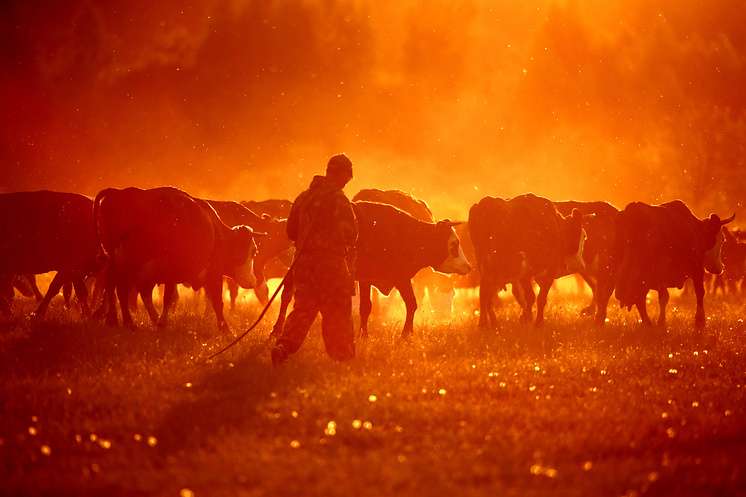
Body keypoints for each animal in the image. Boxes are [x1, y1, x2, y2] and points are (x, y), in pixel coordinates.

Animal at [94, 186, 260, 330]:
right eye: (253, 251)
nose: (253, 281)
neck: (216, 234)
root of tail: (119, 193)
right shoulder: (208, 273)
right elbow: (215, 301)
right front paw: (225, 329)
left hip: (115, 261)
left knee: (112, 287)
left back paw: (114, 320)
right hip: (129, 263)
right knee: (121, 289)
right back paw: (128, 322)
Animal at [272, 201, 470, 338]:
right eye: (454, 244)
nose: (468, 266)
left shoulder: (384, 278)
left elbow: (385, 305)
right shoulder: (386, 277)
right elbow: (389, 305)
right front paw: (403, 334)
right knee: (286, 296)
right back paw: (277, 330)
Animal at [468, 194, 584, 330]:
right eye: (582, 236)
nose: (581, 264)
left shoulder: (529, 274)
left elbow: (532, 297)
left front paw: (528, 319)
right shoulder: (543, 271)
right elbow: (537, 298)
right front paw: (534, 321)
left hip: (487, 266)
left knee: (485, 293)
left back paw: (488, 324)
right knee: (486, 293)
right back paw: (487, 323)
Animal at [612, 200, 732, 328]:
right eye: (722, 240)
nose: (721, 268)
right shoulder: (696, 269)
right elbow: (699, 293)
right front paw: (699, 322)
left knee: (640, 297)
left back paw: (648, 324)